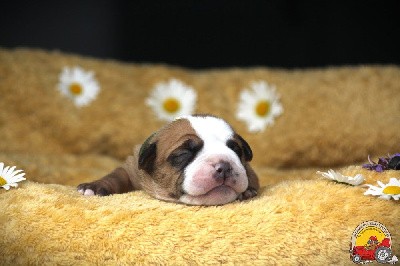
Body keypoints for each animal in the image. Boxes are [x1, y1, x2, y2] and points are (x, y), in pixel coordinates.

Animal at [77, 114, 260, 206]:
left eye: (236, 150)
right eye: (183, 154)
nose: (224, 166)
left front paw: (247, 191)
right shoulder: (131, 167)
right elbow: (116, 175)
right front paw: (93, 187)